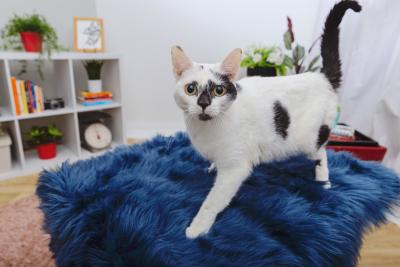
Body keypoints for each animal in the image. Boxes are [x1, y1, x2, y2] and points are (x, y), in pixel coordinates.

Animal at [170, 0, 360, 239]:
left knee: (322, 154)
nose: (203, 103)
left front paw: (197, 228)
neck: (205, 129)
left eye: (219, 90)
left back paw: (323, 181)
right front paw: (212, 165)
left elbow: (212, 202)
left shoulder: (236, 168)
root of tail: (321, 76)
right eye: (191, 89)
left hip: (311, 138)